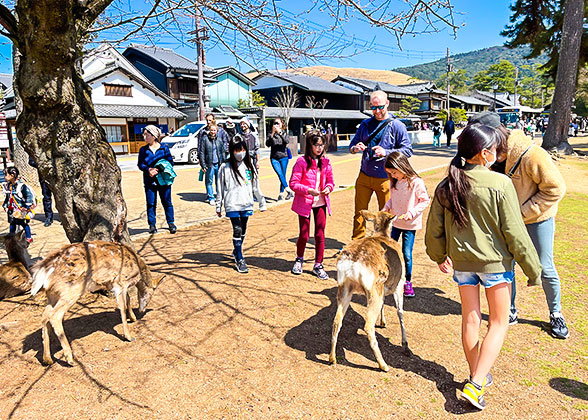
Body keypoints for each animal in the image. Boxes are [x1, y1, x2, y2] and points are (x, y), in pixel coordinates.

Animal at [31, 240, 165, 364]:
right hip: (71, 289)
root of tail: (43, 272)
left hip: (52, 294)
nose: (142, 310)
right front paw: (129, 336)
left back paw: (47, 359)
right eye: (151, 294)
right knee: (54, 316)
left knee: (45, 315)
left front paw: (133, 318)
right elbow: (122, 307)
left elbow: (127, 299)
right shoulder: (120, 282)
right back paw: (70, 358)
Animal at [330, 210, 408, 370]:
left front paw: (383, 322)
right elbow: (400, 312)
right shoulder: (400, 283)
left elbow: (386, 304)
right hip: (373, 290)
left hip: (345, 287)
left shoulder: (384, 289)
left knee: (336, 320)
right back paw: (383, 365)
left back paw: (332, 358)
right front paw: (405, 344)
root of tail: (352, 262)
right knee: (367, 326)